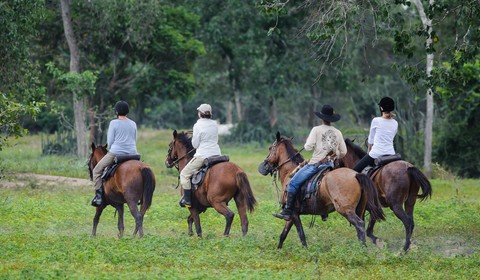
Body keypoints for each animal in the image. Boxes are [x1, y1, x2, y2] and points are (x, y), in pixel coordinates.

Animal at [258, 132, 386, 248]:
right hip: (359, 209)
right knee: (361, 227)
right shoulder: (292, 215)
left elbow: (301, 234)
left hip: (345, 209)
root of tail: (356, 175)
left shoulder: (293, 212)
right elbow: (283, 235)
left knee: (359, 225)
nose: (264, 166)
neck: (290, 172)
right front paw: (279, 250)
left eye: (270, 148)